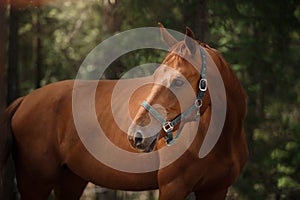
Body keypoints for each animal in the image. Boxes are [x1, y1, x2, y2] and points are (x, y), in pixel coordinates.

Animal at [0, 24, 248, 199]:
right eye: (155, 75)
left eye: (178, 81)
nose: (136, 136)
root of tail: (25, 100)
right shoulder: (172, 187)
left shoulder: (215, 190)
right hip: (35, 184)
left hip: (71, 180)